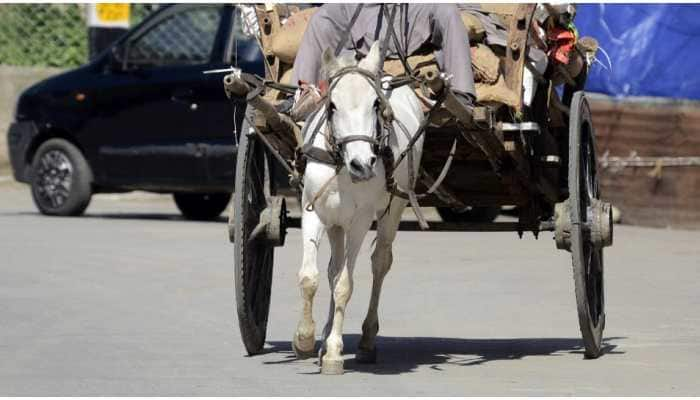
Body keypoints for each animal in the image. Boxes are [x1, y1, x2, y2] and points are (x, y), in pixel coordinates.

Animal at [292, 43, 424, 376]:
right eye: (332, 105)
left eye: (376, 104)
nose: (361, 164)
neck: (340, 163)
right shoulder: (313, 212)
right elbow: (311, 277)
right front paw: (305, 339)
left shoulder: (360, 221)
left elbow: (344, 285)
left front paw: (334, 353)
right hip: (335, 223)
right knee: (333, 267)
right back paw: (326, 335)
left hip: (393, 209)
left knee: (379, 263)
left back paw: (365, 341)